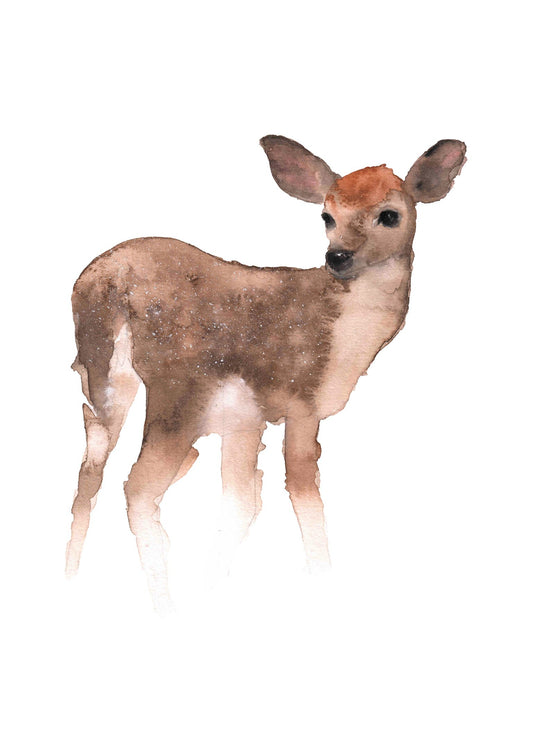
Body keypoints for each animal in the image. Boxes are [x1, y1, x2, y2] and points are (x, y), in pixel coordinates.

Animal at [66, 135, 466, 612]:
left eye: (390, 214)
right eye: (327, 216)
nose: (337, 257)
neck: (342, 339)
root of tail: (101, 282)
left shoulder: (245, 419)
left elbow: (240, 504)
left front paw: (213, 590)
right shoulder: (302, 401)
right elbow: (303, 490)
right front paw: (322, 578)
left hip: (102, 378)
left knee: (90, 473)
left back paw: (73, 576)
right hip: (178, 389)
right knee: (139, 487)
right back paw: (164, 605)